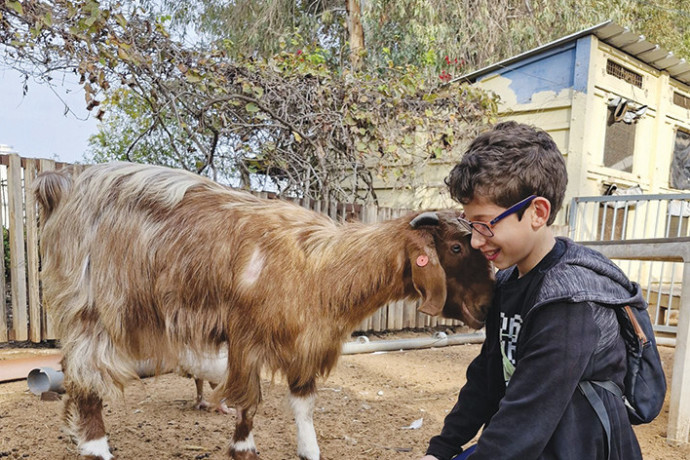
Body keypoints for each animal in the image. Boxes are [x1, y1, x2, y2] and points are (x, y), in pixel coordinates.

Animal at [35, 163, 492, 460]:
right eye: (455, 247)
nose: (487, 306)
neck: (321, 268)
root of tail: (65, 186)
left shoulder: (306, 340)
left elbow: (303, 403)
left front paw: (310, 451)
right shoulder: (247, 336)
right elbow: (249, 402)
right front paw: (243, 448)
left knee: (71, 369)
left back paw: (71, 430)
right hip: (94, 306)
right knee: (88, 375)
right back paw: (95, 447)